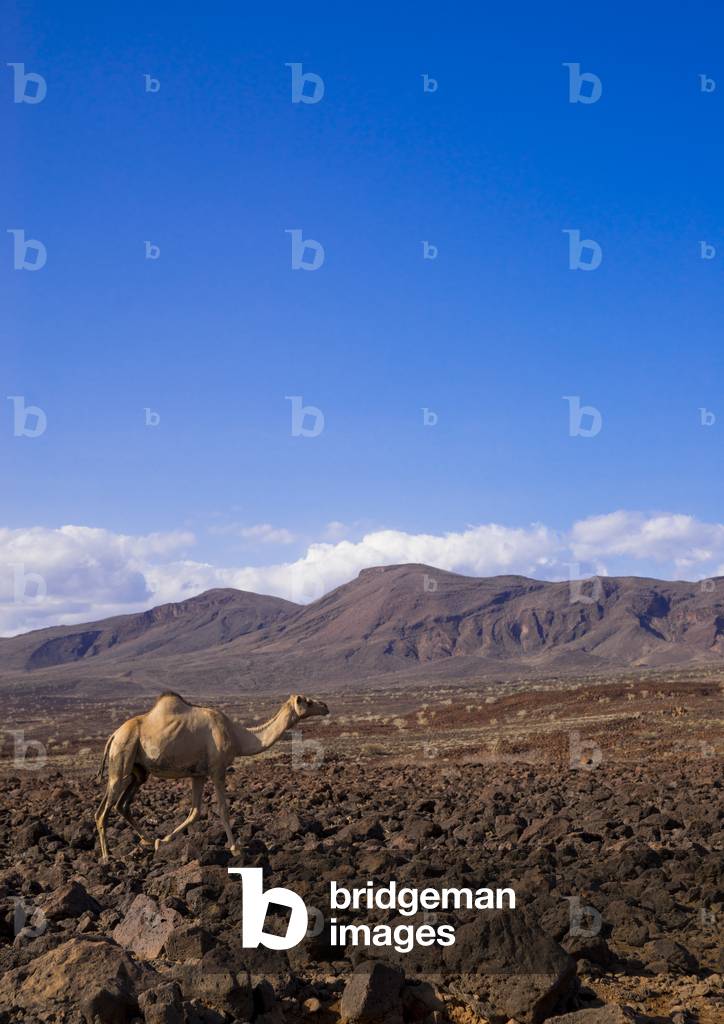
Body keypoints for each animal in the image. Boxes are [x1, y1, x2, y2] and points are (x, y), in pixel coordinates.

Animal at [95, 691, 329, 862]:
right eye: (307, 701)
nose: (325, 706)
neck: (237, 736)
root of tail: (113, 736)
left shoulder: (198, 774)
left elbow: (195, 812)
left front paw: (163, 841)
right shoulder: (218, 769)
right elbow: (223, 809)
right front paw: (235, 848)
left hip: (139, 771)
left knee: (122, 804)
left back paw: (148, 839)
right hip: (121, 759)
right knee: (102, 811)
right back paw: (108, 857)